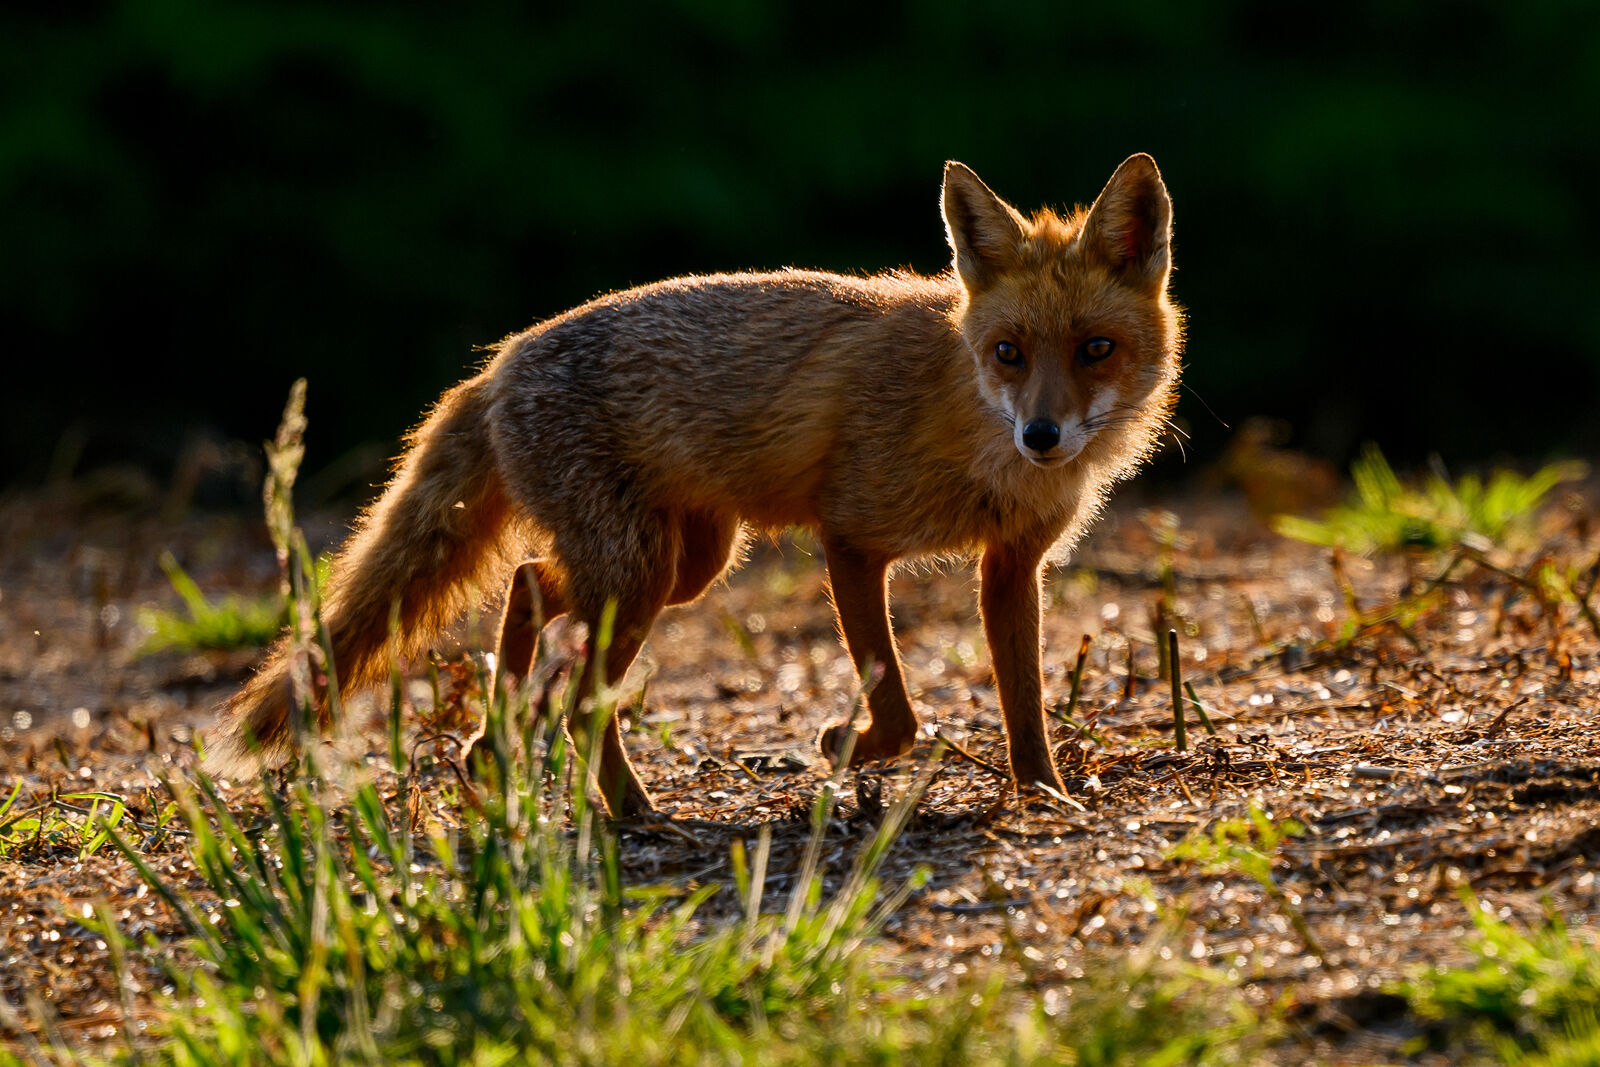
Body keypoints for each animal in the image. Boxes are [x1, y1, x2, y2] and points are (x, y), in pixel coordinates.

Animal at [212, 154, 1183, 816]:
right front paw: (846, 744)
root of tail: (495, 365)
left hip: (679, 566)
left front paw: (1045, 794)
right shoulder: (851, 540)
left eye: (1095, 348)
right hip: (643, 577)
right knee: (578, 699)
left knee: (526, 589)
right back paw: (630, 811)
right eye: (1009, 352)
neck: (972, 427)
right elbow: (898, 707)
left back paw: (496, 744)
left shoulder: (1012, 566)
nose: (1042, 436)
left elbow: (1025, 703)